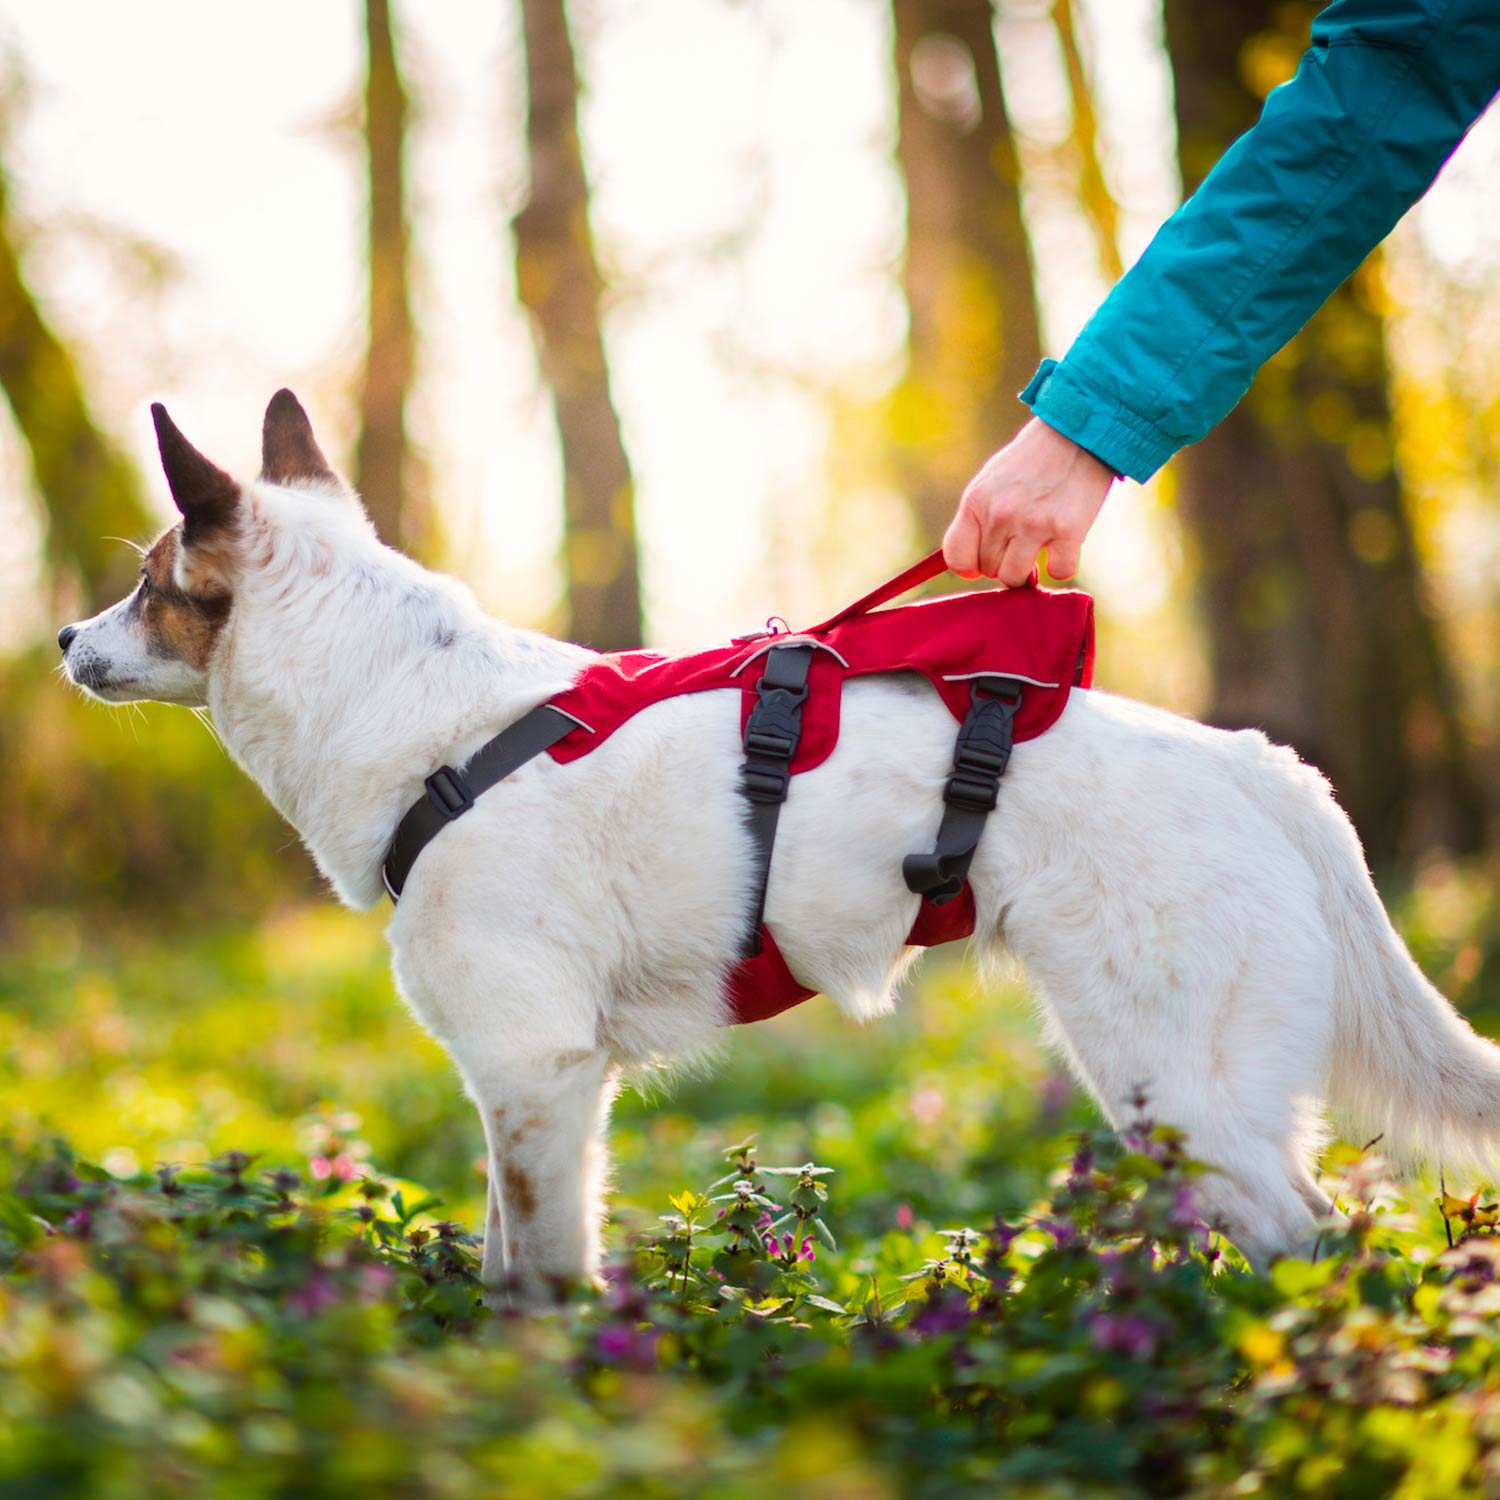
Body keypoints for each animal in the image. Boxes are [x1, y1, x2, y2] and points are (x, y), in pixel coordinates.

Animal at [61, 399, 1500, 1302]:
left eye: (144, 583)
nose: (65, 639)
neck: (434, 728)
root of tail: (1258, 765)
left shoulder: (533, 1071)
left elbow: (539, 1285)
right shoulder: (531, 1091)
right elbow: (506, 1257)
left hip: (1184, 1100)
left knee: (1322, 1252)